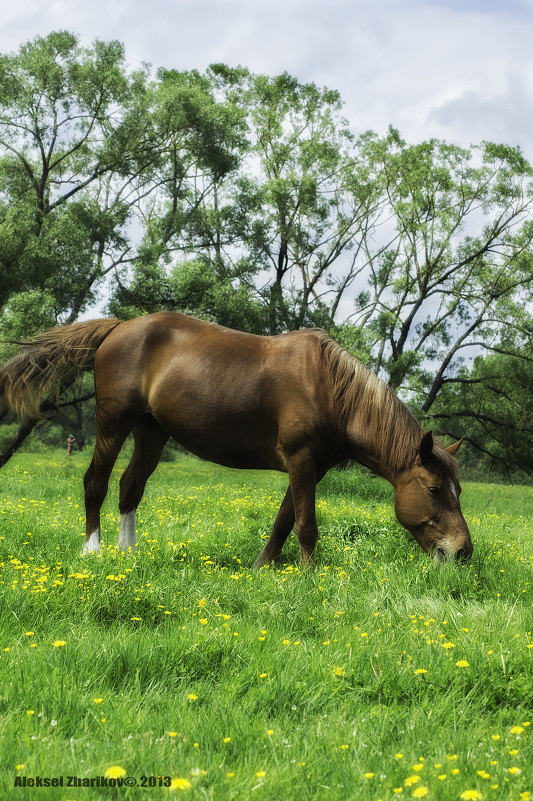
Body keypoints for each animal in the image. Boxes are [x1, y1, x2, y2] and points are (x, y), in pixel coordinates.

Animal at [0, 310, 474, 564]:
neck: (328, 388)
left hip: (151, 432)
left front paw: (262, 567)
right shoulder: (301, 460)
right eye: (434, 489)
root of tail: (118, 327)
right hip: (113, 424)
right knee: (95, 483)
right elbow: (306, 526)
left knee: (129, 488)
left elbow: (284, 520)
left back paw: (129, 553)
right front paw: (310, 579)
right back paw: (93, 551)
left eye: (459, 490)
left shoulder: (311, 467)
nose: (463, 552)